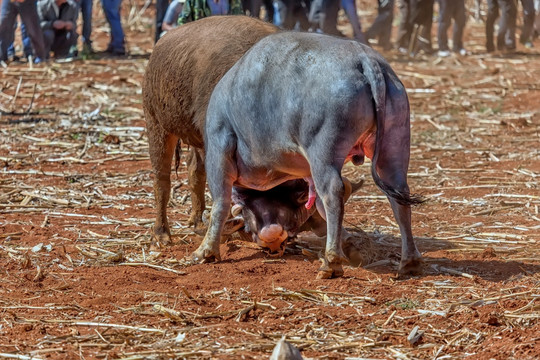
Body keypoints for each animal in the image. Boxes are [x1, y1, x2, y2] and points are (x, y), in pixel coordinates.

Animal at [192, 31, 424, 278]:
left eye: (247, 224)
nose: (272, 246)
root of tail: (364, 60)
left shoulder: (219, 150)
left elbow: (220, 204)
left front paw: (206, 251)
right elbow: (318, 208)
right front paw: (348, 245)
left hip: (323, 154)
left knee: (332, 193)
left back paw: (331, 262)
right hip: (394, 144)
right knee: (398, 194)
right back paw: (409, 261)